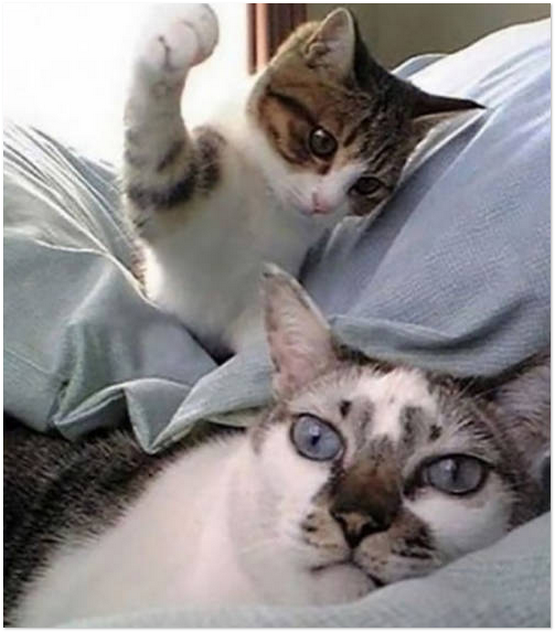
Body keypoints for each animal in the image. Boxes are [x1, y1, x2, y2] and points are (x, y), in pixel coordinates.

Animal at [122, 4, 481, 359]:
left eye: (367, 185)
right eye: (321, 141)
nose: (323, 203)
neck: (269, 202)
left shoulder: (258, 298)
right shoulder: (175, 213)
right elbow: (159, 164)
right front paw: (183, 34)